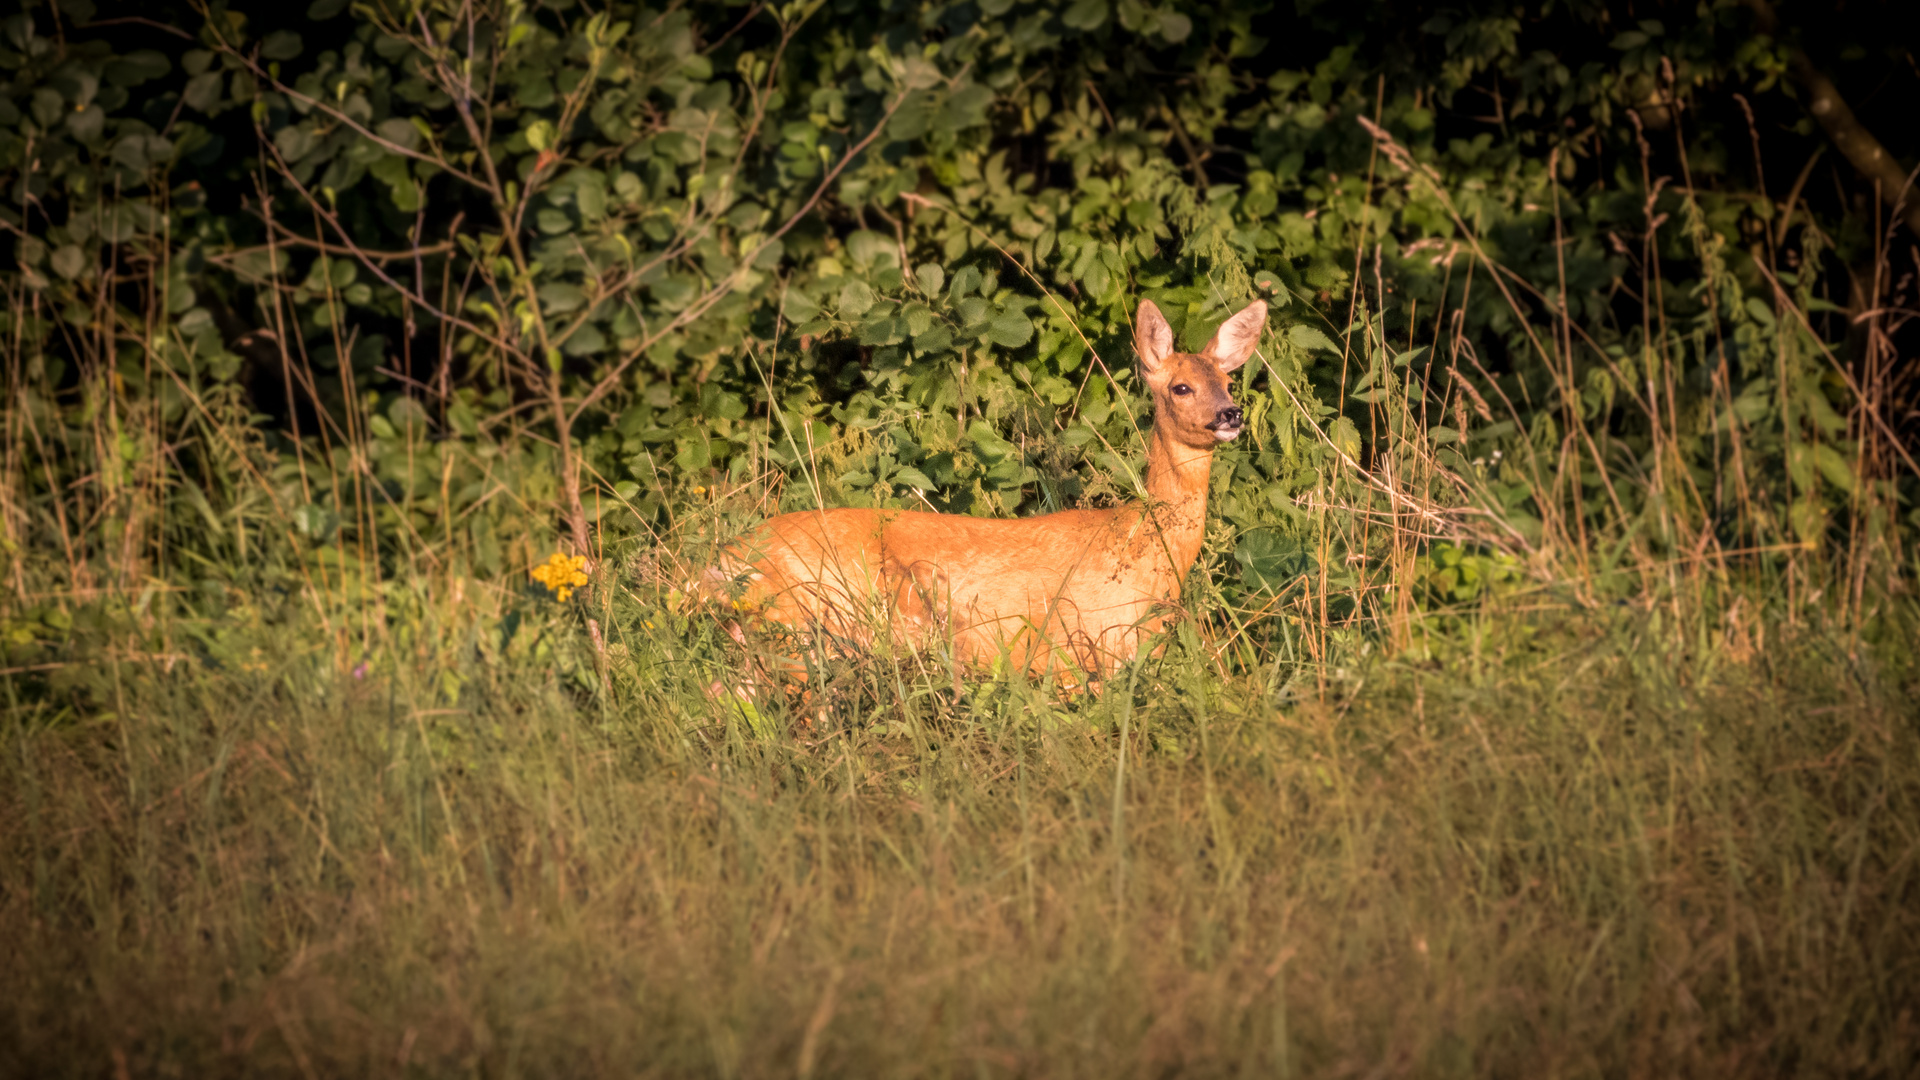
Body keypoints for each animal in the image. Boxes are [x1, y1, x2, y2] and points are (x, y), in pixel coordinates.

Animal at [698, 294, 1267, 680]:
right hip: (798, 630)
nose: (1231, 414)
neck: (1141, 549)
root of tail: (719, 562)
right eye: (1181, 387)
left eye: (1229, 382)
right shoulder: (1077, 650)